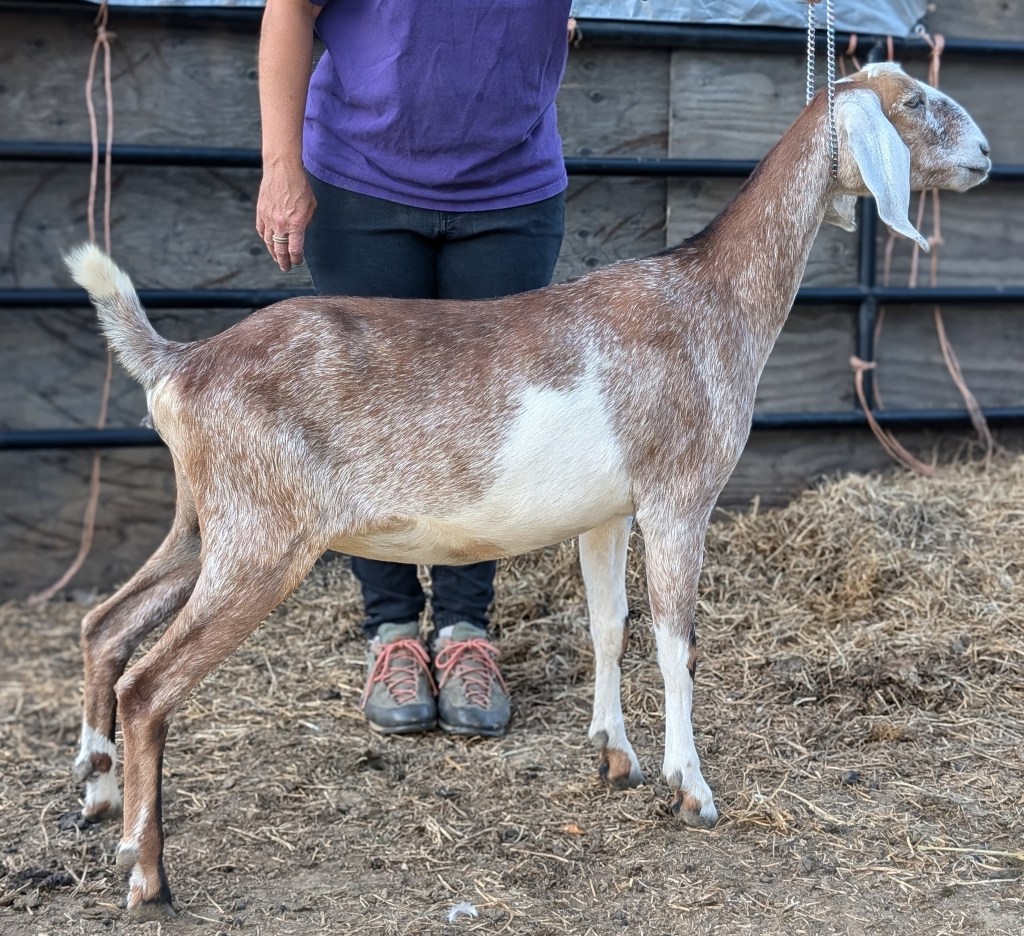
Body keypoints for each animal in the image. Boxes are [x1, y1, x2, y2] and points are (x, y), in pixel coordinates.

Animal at [67, 63, 989, 920]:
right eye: (916, 102)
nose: (984, 154)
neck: (711, 297)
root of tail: (181, 363)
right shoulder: (679, 497)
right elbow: (676, 642)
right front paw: (691, 789)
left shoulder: (609, 513)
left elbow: (610, 624)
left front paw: (614, 755)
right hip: (263, 540)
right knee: (148, 686)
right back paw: (150, 878)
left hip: (206, 524)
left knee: (104, 624)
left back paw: (103, 800)